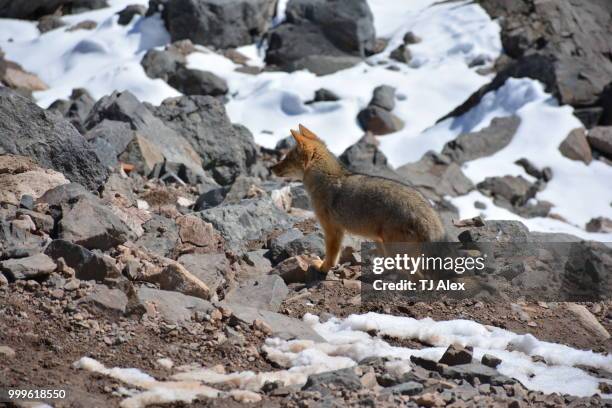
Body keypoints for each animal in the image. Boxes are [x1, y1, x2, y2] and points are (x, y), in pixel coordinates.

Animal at [270, 122, 448, 272]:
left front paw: (323, 268)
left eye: (287, 159)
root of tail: (429, 215)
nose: (271, 168)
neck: (326, 178)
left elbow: (332, 256)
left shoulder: (333, 230)